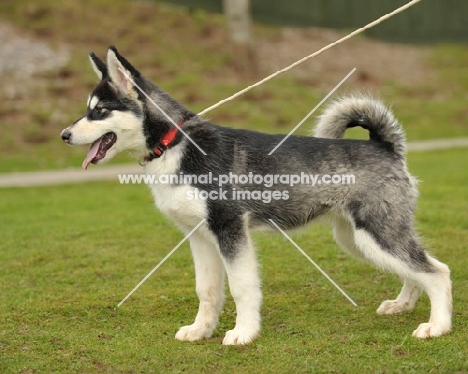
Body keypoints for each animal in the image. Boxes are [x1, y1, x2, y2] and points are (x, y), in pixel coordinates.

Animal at [60, 46, 452, 344]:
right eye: (87, 110)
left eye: (99, 111)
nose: (64, 135)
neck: (174, 145)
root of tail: (384, 146)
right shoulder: (200, 238)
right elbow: (207, 291)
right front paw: (201, 330)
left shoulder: (231, 231)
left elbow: (241, 288)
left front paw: (243, 334)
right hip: (358, 239)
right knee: (416, 270)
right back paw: (402, 305)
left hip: (376, 235)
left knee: (436, 271)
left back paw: (437, 326)